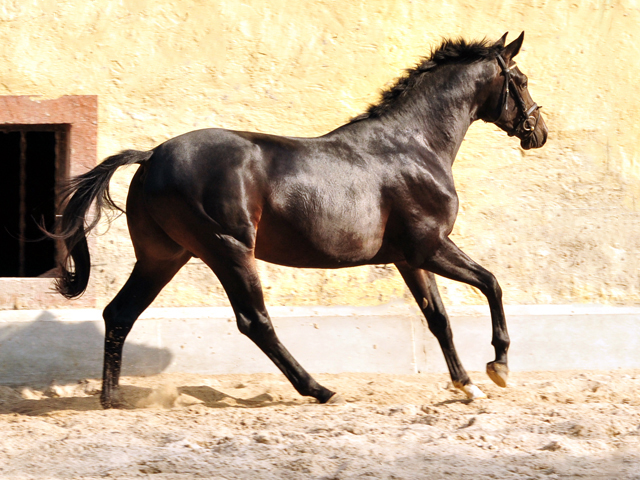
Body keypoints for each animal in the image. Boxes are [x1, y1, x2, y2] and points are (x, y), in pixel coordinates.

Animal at [53, 31, 544, 406]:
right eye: (520, 79)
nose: (538, 132)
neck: (414, 145)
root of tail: (152, 155)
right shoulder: (430, 246)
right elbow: (491, 283)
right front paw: (498, 367)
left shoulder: (409, 258)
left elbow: (438, 317)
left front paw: (467, 386)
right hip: (228, 250)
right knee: (254, 321)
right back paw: (319, 389)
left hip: (164, 256)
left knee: (120, 313)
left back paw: (111, 399)